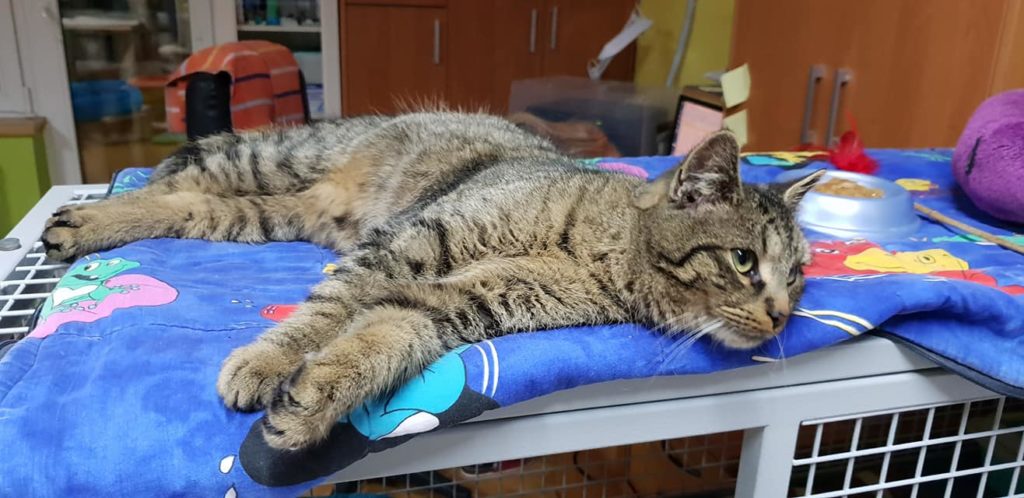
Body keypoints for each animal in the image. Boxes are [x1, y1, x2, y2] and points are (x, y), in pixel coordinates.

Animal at [41, 111, 823, 450]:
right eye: (744, 261)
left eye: (799, 277)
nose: (781, 316)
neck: (598, 248)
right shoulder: (409, 245)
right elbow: (323, 313)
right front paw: (266, 361)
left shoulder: (452, 301)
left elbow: (377, 342)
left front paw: (310, 400)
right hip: (271, 161)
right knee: (168, 181)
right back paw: (82, 219)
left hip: (261, 213)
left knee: (180, 205)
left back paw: (88, 226)